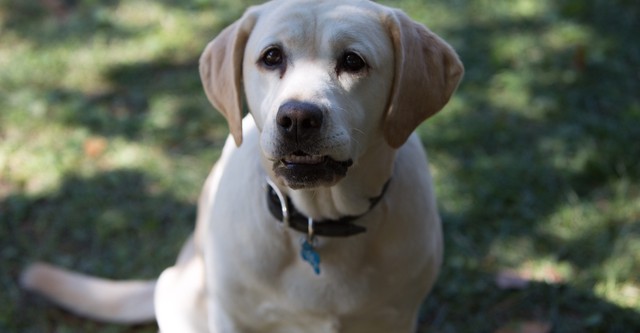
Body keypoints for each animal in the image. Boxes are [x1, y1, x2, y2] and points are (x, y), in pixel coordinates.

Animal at [20, 0, 462, 330]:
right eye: (271, 57)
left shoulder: (396, 316)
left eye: (353, 61)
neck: (318, 219)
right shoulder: (231, 317)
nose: (298, 118)